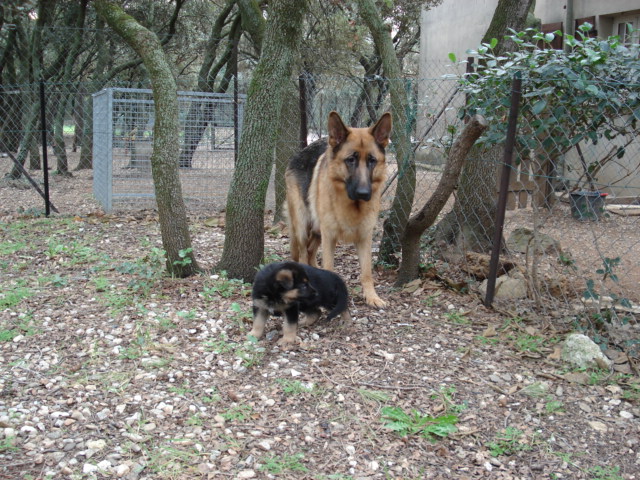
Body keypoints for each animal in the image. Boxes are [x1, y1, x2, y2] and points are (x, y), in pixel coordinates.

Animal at [284, 111, 390, 308]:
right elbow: (330, 267)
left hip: (318, 232)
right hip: (303, 227)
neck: (351, 205)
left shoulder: (364, 238)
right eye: (350, 160)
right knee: (303, 254)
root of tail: (298, 154)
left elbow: (367, 272)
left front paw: (372, 296)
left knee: (311, 253)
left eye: (372, 160)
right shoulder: (330, 237)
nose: (364, 193)